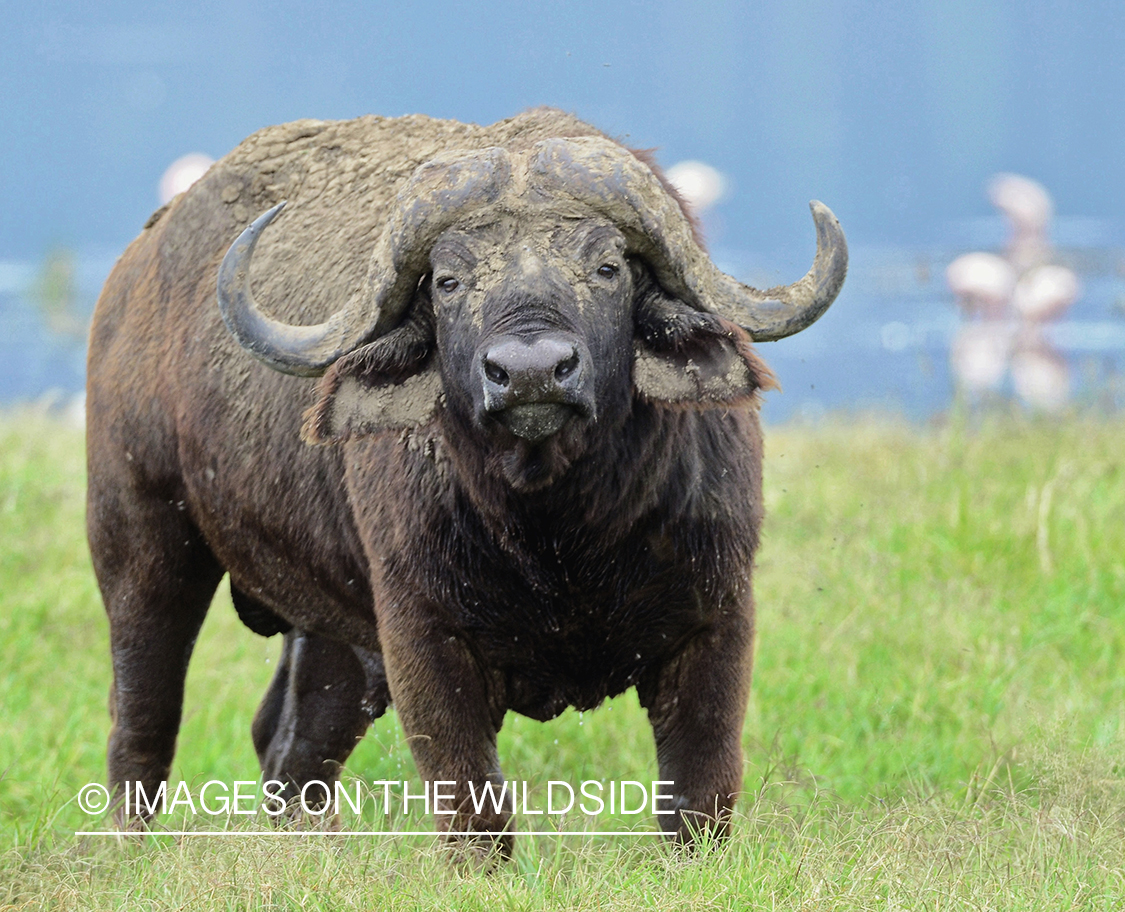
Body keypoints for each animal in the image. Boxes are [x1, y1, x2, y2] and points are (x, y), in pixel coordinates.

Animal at [86, 107, 846, 857]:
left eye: (607, 267)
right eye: (448, 281)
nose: (531, 371)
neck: (560, 534)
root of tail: (136, 271)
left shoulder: (717, 617)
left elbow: (698, 792)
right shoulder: (421, 635)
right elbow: (472, 802)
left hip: (331, 633)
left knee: (289, 747)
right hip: (141, 545)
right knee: (142, 721)